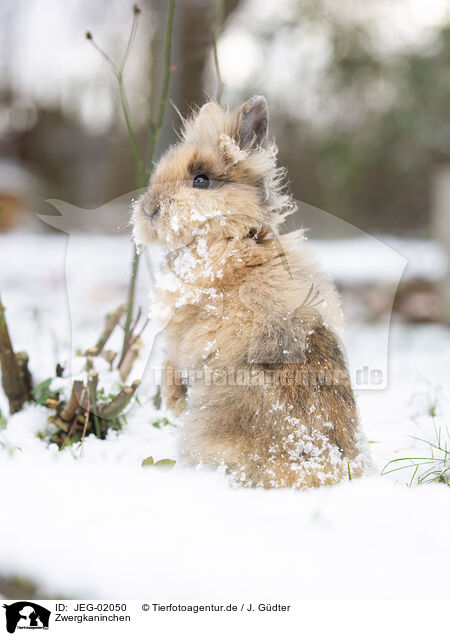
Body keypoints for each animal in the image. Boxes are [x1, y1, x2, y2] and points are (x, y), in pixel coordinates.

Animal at [133, 97, 370, 490]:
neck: (231, 237)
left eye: (201, 179)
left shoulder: (183, 340)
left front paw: (172, 401)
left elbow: (172, 368)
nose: (149, 208)